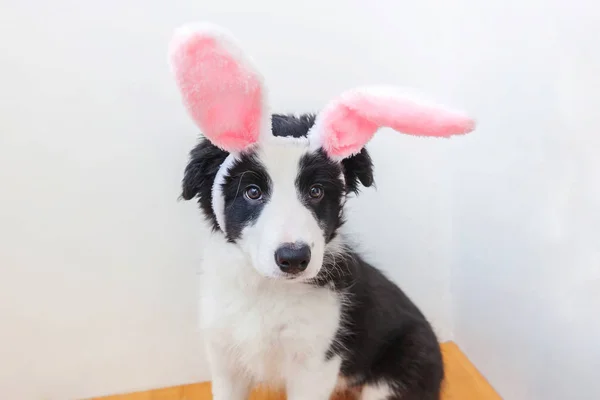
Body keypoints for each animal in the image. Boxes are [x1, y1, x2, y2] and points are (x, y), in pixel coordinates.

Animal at [168, 22, 474, 400]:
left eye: (316, 192)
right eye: (252, 192)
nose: (294, 258)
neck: (267, 292)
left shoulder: (315, 364)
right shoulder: (225, 359)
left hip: (396, 377)